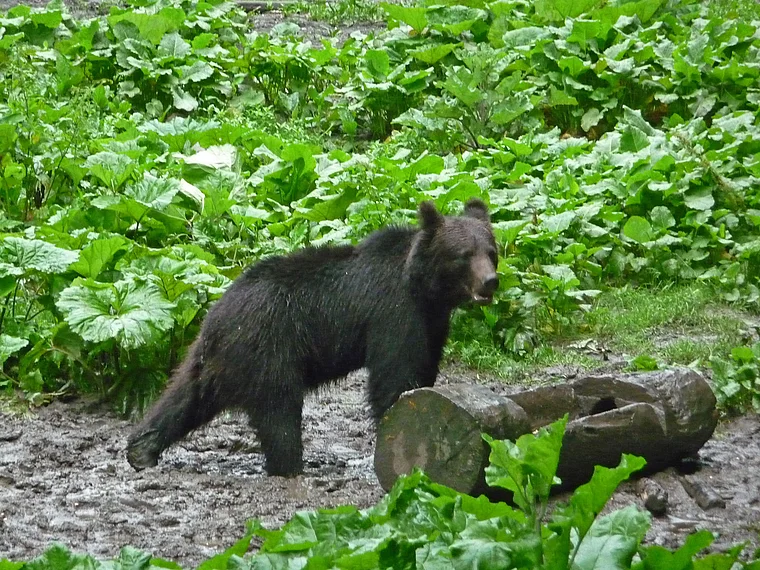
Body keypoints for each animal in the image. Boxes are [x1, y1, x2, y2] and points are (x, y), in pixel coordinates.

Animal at [126, 198, 499, 477]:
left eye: (492, 251)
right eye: (464, 254)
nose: (490, 282)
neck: (424, 289)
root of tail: (217, 315)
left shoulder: (432, 324)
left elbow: (424, 368)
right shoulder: (392, 314)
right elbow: (395, 376)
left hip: (213, 357)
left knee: (184, 396)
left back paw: (142, 449)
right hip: (270, 350)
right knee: (279, 414)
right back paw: (290, 465)